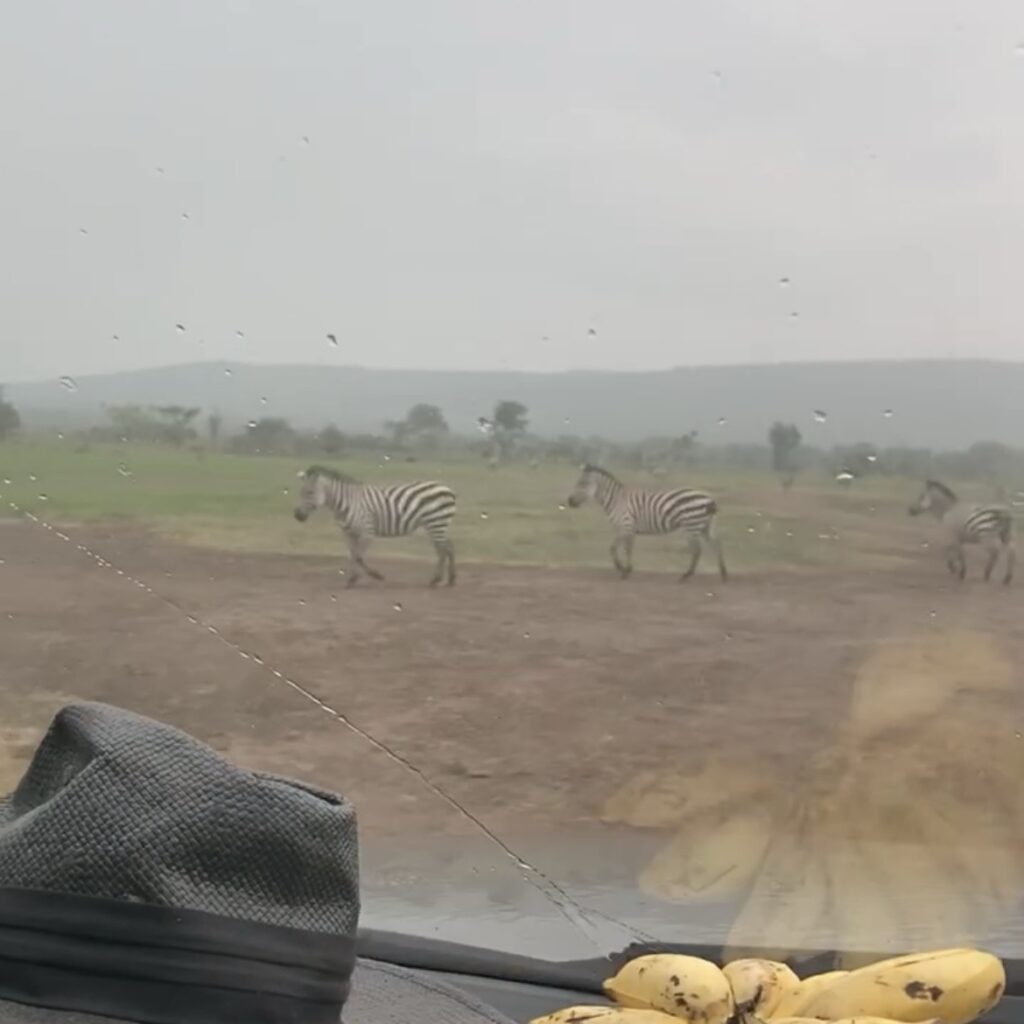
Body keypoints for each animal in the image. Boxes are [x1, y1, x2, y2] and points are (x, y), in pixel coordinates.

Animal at [296, 462, 456, 585]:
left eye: (309, 492)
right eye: (300, 492)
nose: (297, 515)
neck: (346, 503)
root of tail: (446, 488)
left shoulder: (367, 532)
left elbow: (359, 557)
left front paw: (376, 576)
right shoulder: (348, 533)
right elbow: (353, 555)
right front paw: (352, 579)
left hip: (436, 522)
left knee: (444, 549)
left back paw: (438, 579)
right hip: (435, 525)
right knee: (447, 548)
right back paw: (449, 580)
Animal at [565, 462, 724, 581]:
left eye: (583, 483)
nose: (570, 502)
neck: (617, 500)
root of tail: (709, 498)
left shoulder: (626, 525)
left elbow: (621, 549)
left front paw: (624, 570)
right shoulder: (624, 528)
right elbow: (621, 548)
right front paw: (625, 568)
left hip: (691, 525)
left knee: (697, 550)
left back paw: (686, 575)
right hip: (705, 525)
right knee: (716, 545)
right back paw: (723, 574)